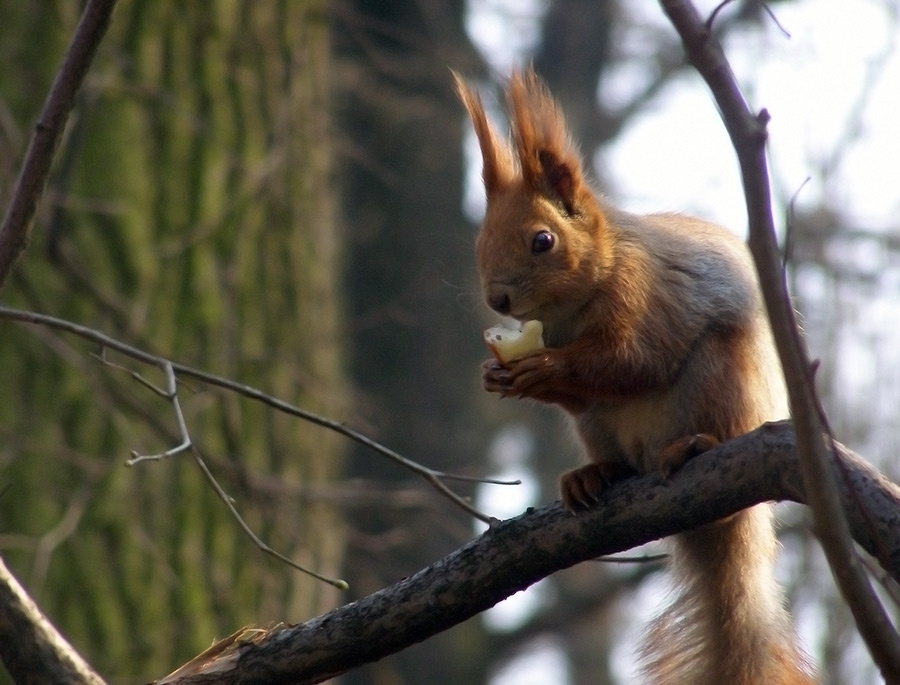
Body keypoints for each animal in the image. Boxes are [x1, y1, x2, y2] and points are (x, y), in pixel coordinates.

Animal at [455, 69, 816, 684]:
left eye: (542, 240)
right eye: (479, 241)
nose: (497, 298)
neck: (573, 307)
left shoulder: (643, 290)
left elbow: (633, 360)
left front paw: (542, 368)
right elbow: (586, 389)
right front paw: (493, 374)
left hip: (720, 379)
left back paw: (691, 447)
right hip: (600, 429)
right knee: (612, 449)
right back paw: (595, 475)